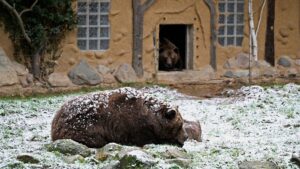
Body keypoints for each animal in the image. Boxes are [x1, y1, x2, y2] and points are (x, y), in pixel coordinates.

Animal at [51, 88, 196, 147]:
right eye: (180, 125)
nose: (186, 136)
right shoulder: (133, 125)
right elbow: (145, 139)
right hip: (83, 126)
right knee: (95, 139)